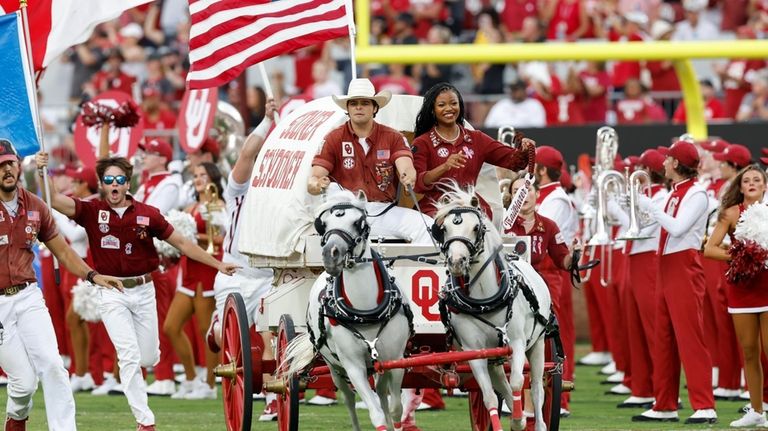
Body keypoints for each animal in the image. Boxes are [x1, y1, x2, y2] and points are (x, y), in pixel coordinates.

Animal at [280, 191, 414, 431]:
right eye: (322, 224)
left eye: (360, 222)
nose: (331, 254)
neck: (365, 311)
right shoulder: (353, 367)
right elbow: (376, 414)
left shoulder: (396, 360)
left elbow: (395, 408)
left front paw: (395, 423)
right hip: (334, 368)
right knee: (350, 400)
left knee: (381, 393)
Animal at [432, 185, 552, 431]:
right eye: (444, 228)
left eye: (476, 227)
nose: (456, 262)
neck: (484, 301)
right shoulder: (475, 351)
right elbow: (488, 396)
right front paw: (513, 419)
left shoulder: (516, 343)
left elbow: (517, 382)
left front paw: (517, 420)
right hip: (493, 356)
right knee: (500, 379)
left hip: (538, 344)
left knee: (536, 387)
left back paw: (537, 423)